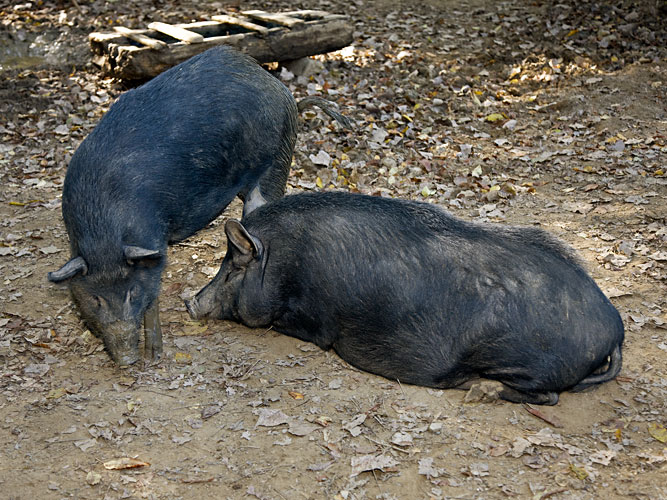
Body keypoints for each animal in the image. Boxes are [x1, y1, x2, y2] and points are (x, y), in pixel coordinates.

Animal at [47, 46, 350, 368]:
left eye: (131, 293)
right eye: (96, 299)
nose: (127, 360)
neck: (102, 230)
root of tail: (283, 91)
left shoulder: (153, 239)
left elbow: (153, 297)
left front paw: (154, 357)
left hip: (276, 163)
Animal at [188, 189, 628, 404]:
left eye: (233, 266)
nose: (189, 302)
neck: (285, 263)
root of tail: (616, 330)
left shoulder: (316, 322)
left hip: (523, 361)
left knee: (547, 395)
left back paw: (479, 393)